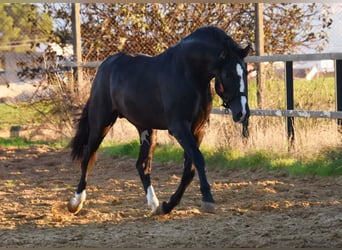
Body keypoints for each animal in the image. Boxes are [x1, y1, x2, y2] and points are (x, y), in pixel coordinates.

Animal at [67, 26, 248, 216]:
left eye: (245, 71)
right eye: (228, 74)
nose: (242, 112)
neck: (189, 73)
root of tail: (105, 65)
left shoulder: (198, 129)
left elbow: (189, 170)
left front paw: (167, 205)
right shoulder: (179, 128)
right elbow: (198, 160)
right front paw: (208, 200)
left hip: (146, 128)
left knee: (142, 165)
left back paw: (154, 205)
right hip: (101, 123)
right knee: (87, 157)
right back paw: (75, 203)